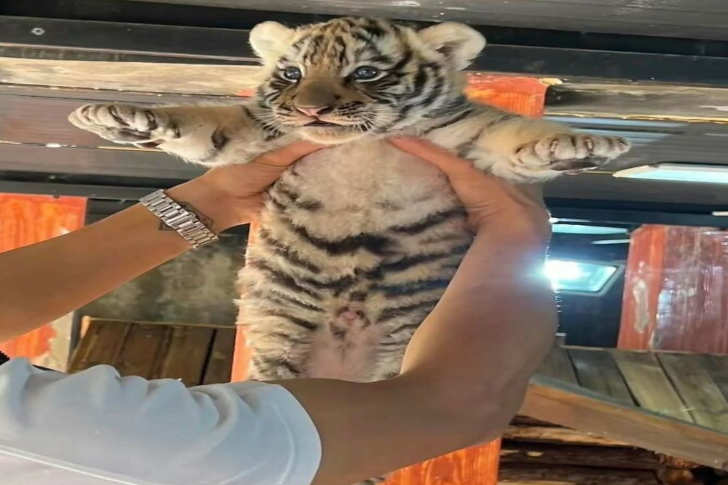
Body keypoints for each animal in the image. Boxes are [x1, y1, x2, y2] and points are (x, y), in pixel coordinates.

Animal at [69, 17, 629, 385]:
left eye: (364, 73)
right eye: (292, 74)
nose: (311, 110)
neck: (361, 143)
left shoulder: (468, 135)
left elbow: (514, 134)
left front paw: (585, 147)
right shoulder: (257, 132)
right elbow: (201, 122)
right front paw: (117, 118)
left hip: (407, 336)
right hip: (281, 334)